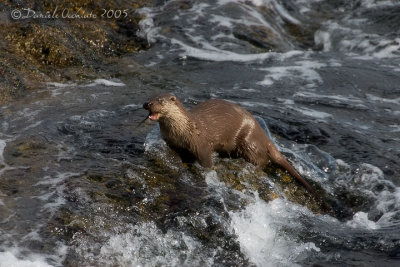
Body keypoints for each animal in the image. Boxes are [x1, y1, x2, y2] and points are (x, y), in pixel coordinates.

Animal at [142, 94, 324, 203]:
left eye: (160, 101)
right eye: (151, 97)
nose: (147, 103)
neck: (183, 130)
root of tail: (264, 135)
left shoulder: (201, 144)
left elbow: (206, 161)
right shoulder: (172, 143)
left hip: (248, 141)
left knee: (261, 160)